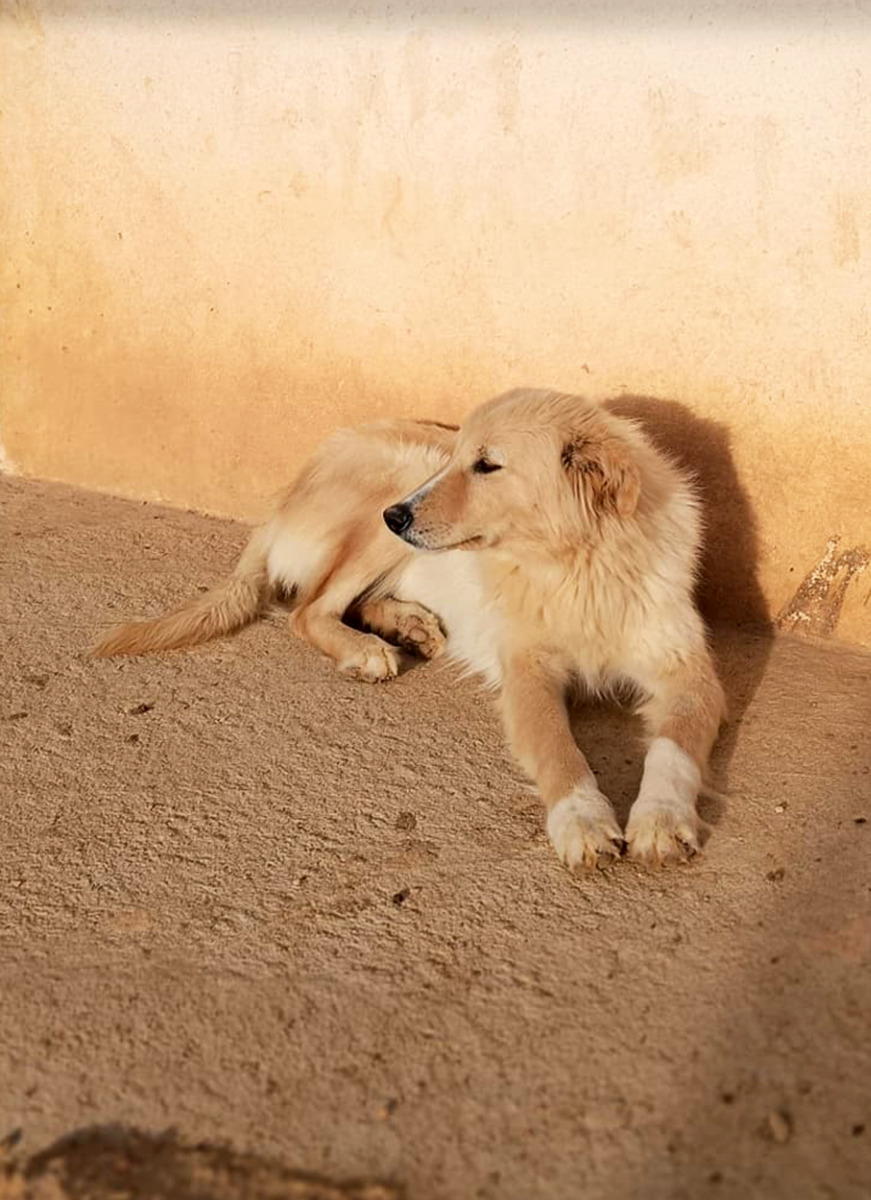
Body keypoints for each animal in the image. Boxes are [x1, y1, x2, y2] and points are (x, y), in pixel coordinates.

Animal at [95, 388, 725, 869]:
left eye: (487, 465)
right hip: (397, 481)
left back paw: (409, 626)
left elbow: (674, 750)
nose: (395, 515)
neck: (578, 565)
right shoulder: (529, 672)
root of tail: (283, 502)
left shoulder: (688, 670)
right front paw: (583, 821)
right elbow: (558, 749)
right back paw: (367, 650)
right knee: (309, 609)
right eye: (461, 457)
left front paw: (661, 818)